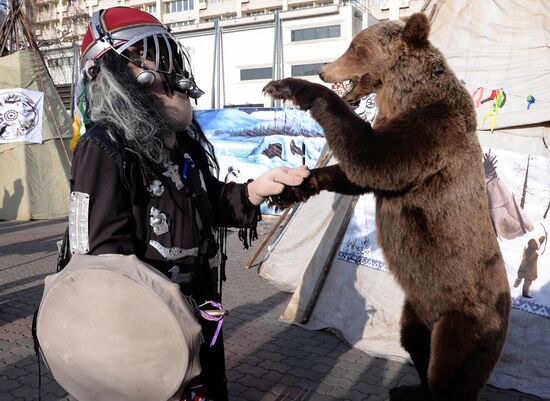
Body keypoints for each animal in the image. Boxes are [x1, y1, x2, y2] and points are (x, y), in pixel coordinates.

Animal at [264, 11, 512, 400]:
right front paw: (291, 188)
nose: (322, 70)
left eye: (355, 46)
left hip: (468, 315)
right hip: (417, 305)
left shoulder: (432, 130)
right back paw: (409, 388)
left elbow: (374, 158)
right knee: (414, 341)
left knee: (451, 371)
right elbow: (357, 173)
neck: (402, 94)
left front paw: (288, 87)